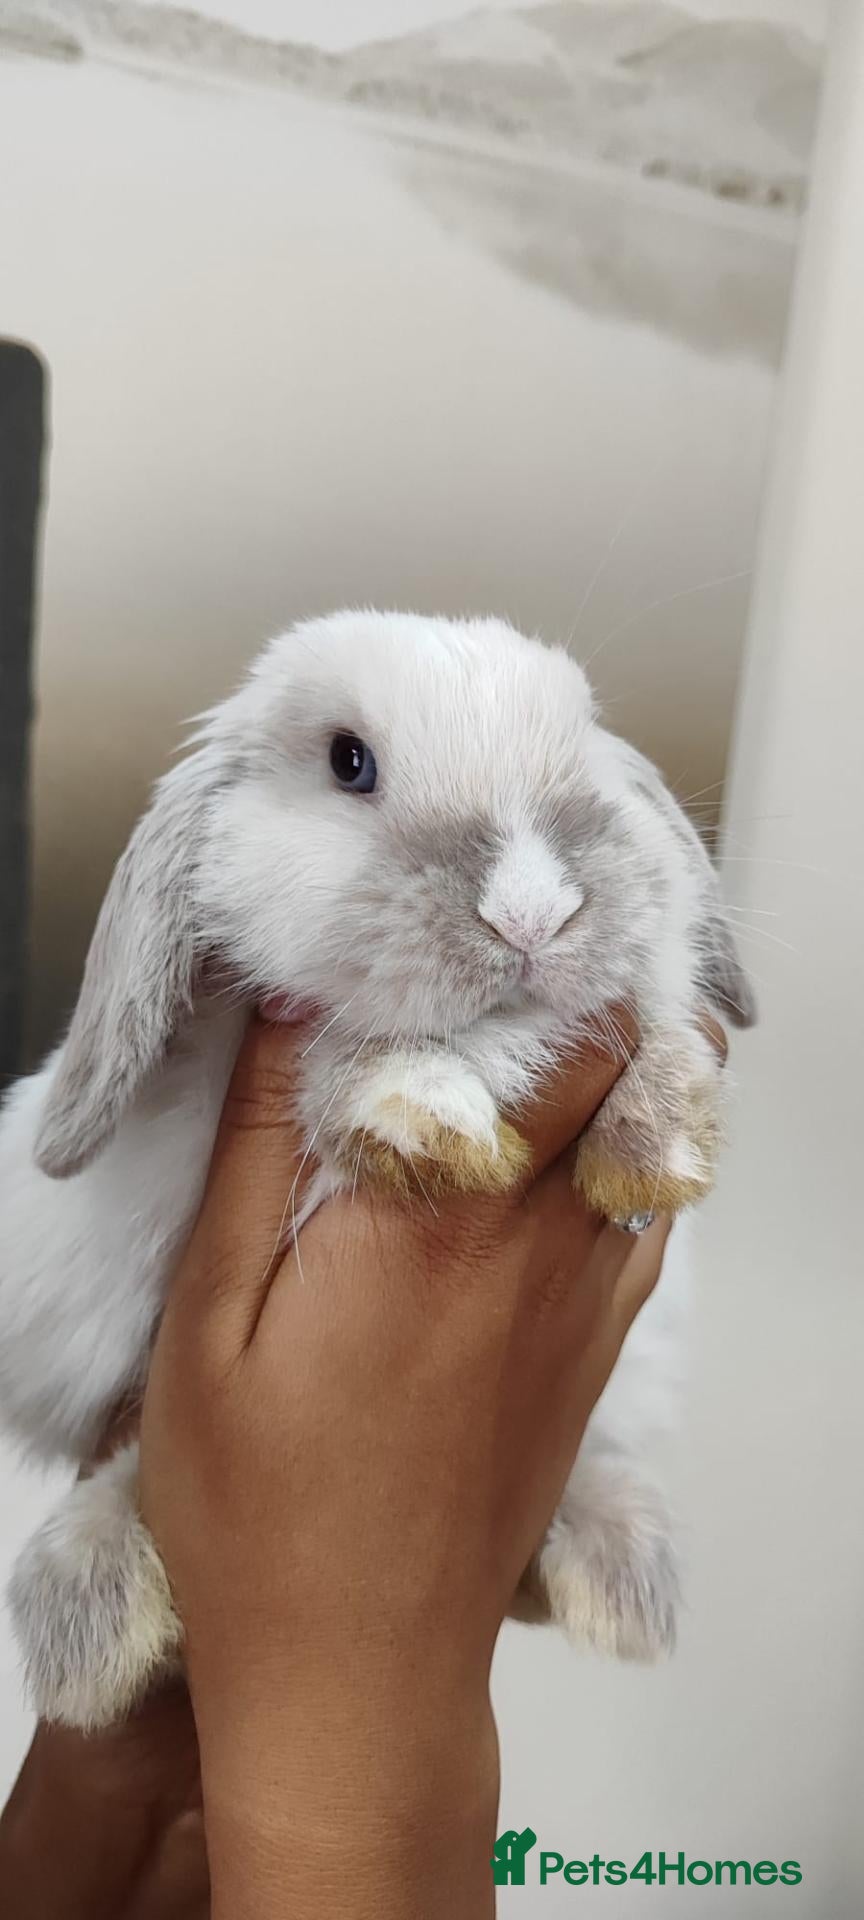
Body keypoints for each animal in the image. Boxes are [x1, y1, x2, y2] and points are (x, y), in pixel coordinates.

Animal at [0, 610, 754, 1730]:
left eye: (580, 754)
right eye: (348, 763)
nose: (532, 913)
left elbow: (651, 1032)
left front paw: (655, 1149)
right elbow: (350, 1062)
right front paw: (433, 1125)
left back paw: (620, 1575)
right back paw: (93, 1629)